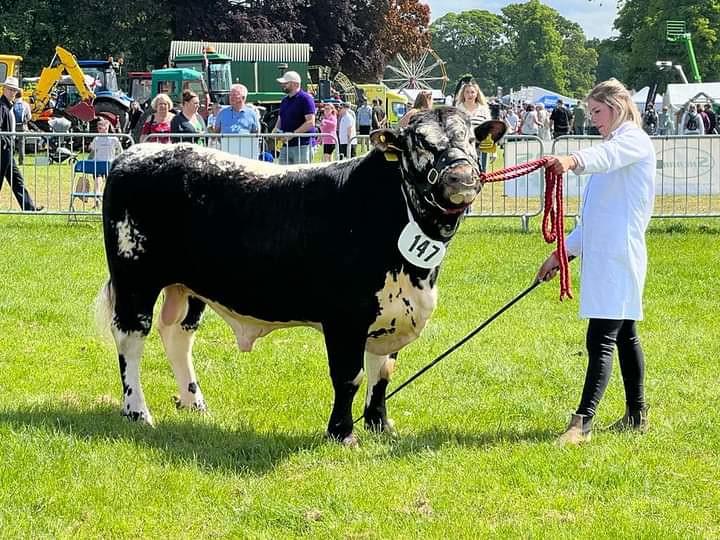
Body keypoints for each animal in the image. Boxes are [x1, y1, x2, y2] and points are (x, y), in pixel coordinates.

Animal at [100, 106, 506, 442]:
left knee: (177, 336)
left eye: (472, 140)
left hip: (187, 286)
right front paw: (342, 433)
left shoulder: (392, 312)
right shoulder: (345, 317)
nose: (462, 177)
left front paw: (380, 425)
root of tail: (135, 152)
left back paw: (194, 402)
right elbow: (350, 375)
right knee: (130, 338)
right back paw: (137, 412)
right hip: (134, 279)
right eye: (420, 142)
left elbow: (383, 373)